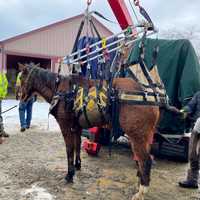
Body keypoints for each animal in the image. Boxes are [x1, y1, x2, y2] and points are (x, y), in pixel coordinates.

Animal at [18, 63, 159, 200]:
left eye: (21, 78)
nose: (20, 96)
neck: (62, 89)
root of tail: (149, 97)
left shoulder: (65, 127)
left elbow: (69, 149)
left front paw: (69, 175)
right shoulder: (76, 127)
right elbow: (77, 146)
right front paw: (77, 166)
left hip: (137, 136)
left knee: (145, 160)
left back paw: (141, 191)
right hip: (145, 137)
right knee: (142, 160)